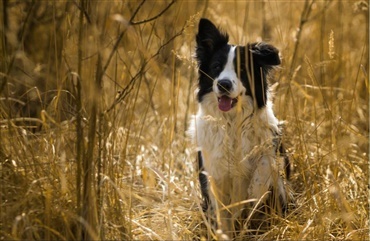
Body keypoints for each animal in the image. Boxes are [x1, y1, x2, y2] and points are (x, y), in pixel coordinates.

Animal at [189, 18, 290, 237]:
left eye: (242, 70)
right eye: (216, 66)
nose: (224, 84)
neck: (232, 122)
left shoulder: (271, 144)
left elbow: (264, 165)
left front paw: (253, 192)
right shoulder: (213, 168)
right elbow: (222, 210)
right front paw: (225, 233)